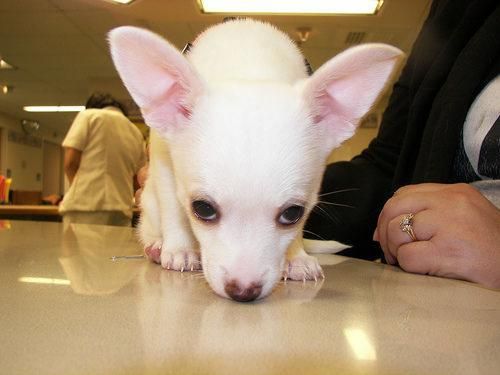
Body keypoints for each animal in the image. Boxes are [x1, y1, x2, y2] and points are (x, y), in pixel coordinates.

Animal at [108, 18, 402, 302]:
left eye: (293, 213)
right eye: (202, 209)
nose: (243, 290)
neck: (250, 66)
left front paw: (296, 257)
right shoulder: (162, 157)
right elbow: (173, 208)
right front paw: (181, 249)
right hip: (148, 205)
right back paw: (158, 245)